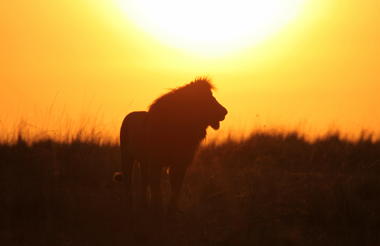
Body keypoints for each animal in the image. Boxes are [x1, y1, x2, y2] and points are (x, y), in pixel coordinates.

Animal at [116, 77, 227, 215]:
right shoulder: (156, 162)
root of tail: (129, 115)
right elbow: (157, 188)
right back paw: (130, 207)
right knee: (128, 183)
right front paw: (158, 210)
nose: (225, 112)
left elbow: (176, 188)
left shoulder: (181, 163)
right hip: (127, 157)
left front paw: (172, 210)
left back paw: (144, 206)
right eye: (207, 98)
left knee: (144, 182)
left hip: (144, 161)